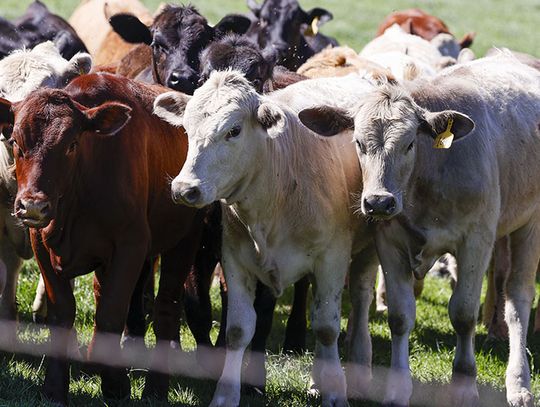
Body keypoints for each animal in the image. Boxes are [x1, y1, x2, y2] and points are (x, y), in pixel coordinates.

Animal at [0, 73, 206, 404]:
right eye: (16, 142)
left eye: (71, 144)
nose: (32, 205)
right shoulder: (41, 243)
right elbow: (63, 313)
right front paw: (54, 388)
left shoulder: (131, 244)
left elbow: (112, 312)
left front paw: (115, 385)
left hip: (186, 237)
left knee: (166, 306)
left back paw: (155, 388)